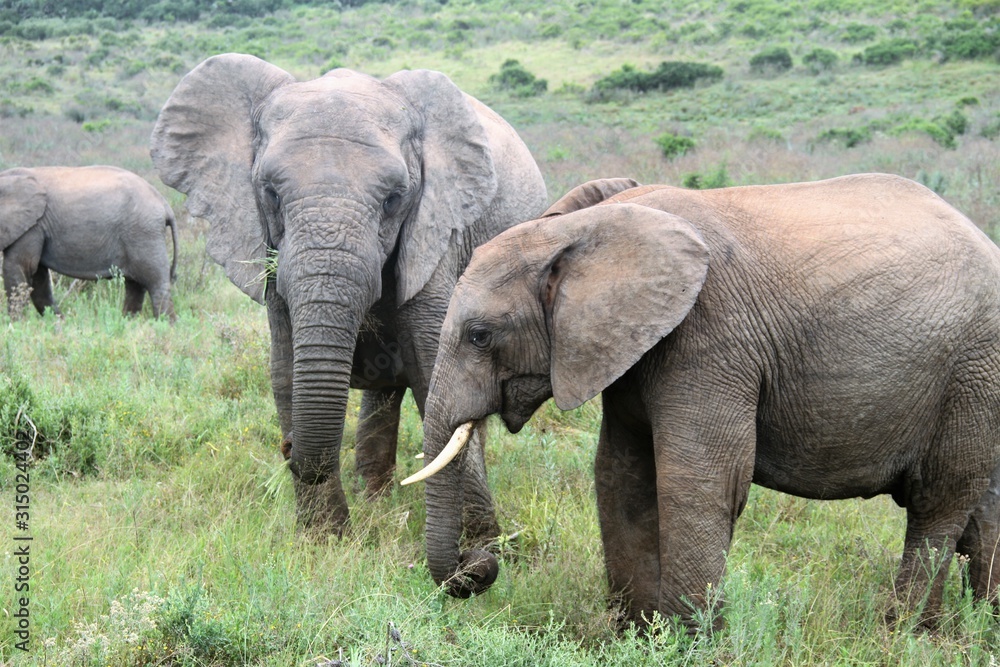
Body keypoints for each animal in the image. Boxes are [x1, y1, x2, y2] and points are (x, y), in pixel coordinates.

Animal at [0, 165, 177, 319]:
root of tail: (164, 204)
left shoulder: (32, 226)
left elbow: (18, 267)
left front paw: (16, 325)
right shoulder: (36, 225)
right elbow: (38, 275)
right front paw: (58, 323)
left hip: (143, 233)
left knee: (155, 282)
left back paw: (165, 325)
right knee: (135, 285)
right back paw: (129, 323)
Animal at [150, 54, 548, 536]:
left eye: (394, 198)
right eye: (270, 194)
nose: (287, 449)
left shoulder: (436, 235)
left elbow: (434, 368)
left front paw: (481, 544)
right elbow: (284, 371)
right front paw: (325, 540)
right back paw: (374, 497)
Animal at [404, 174, 1000, 630]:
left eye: (479, 335)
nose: (480, 562)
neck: (587, 228)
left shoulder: (709, 339)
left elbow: (698, 479)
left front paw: (686, 641)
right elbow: (620, 475)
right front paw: (636, 636)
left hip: (971, 367)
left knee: (939, 500)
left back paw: (905, 633)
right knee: (981, 503)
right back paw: (976, 626)